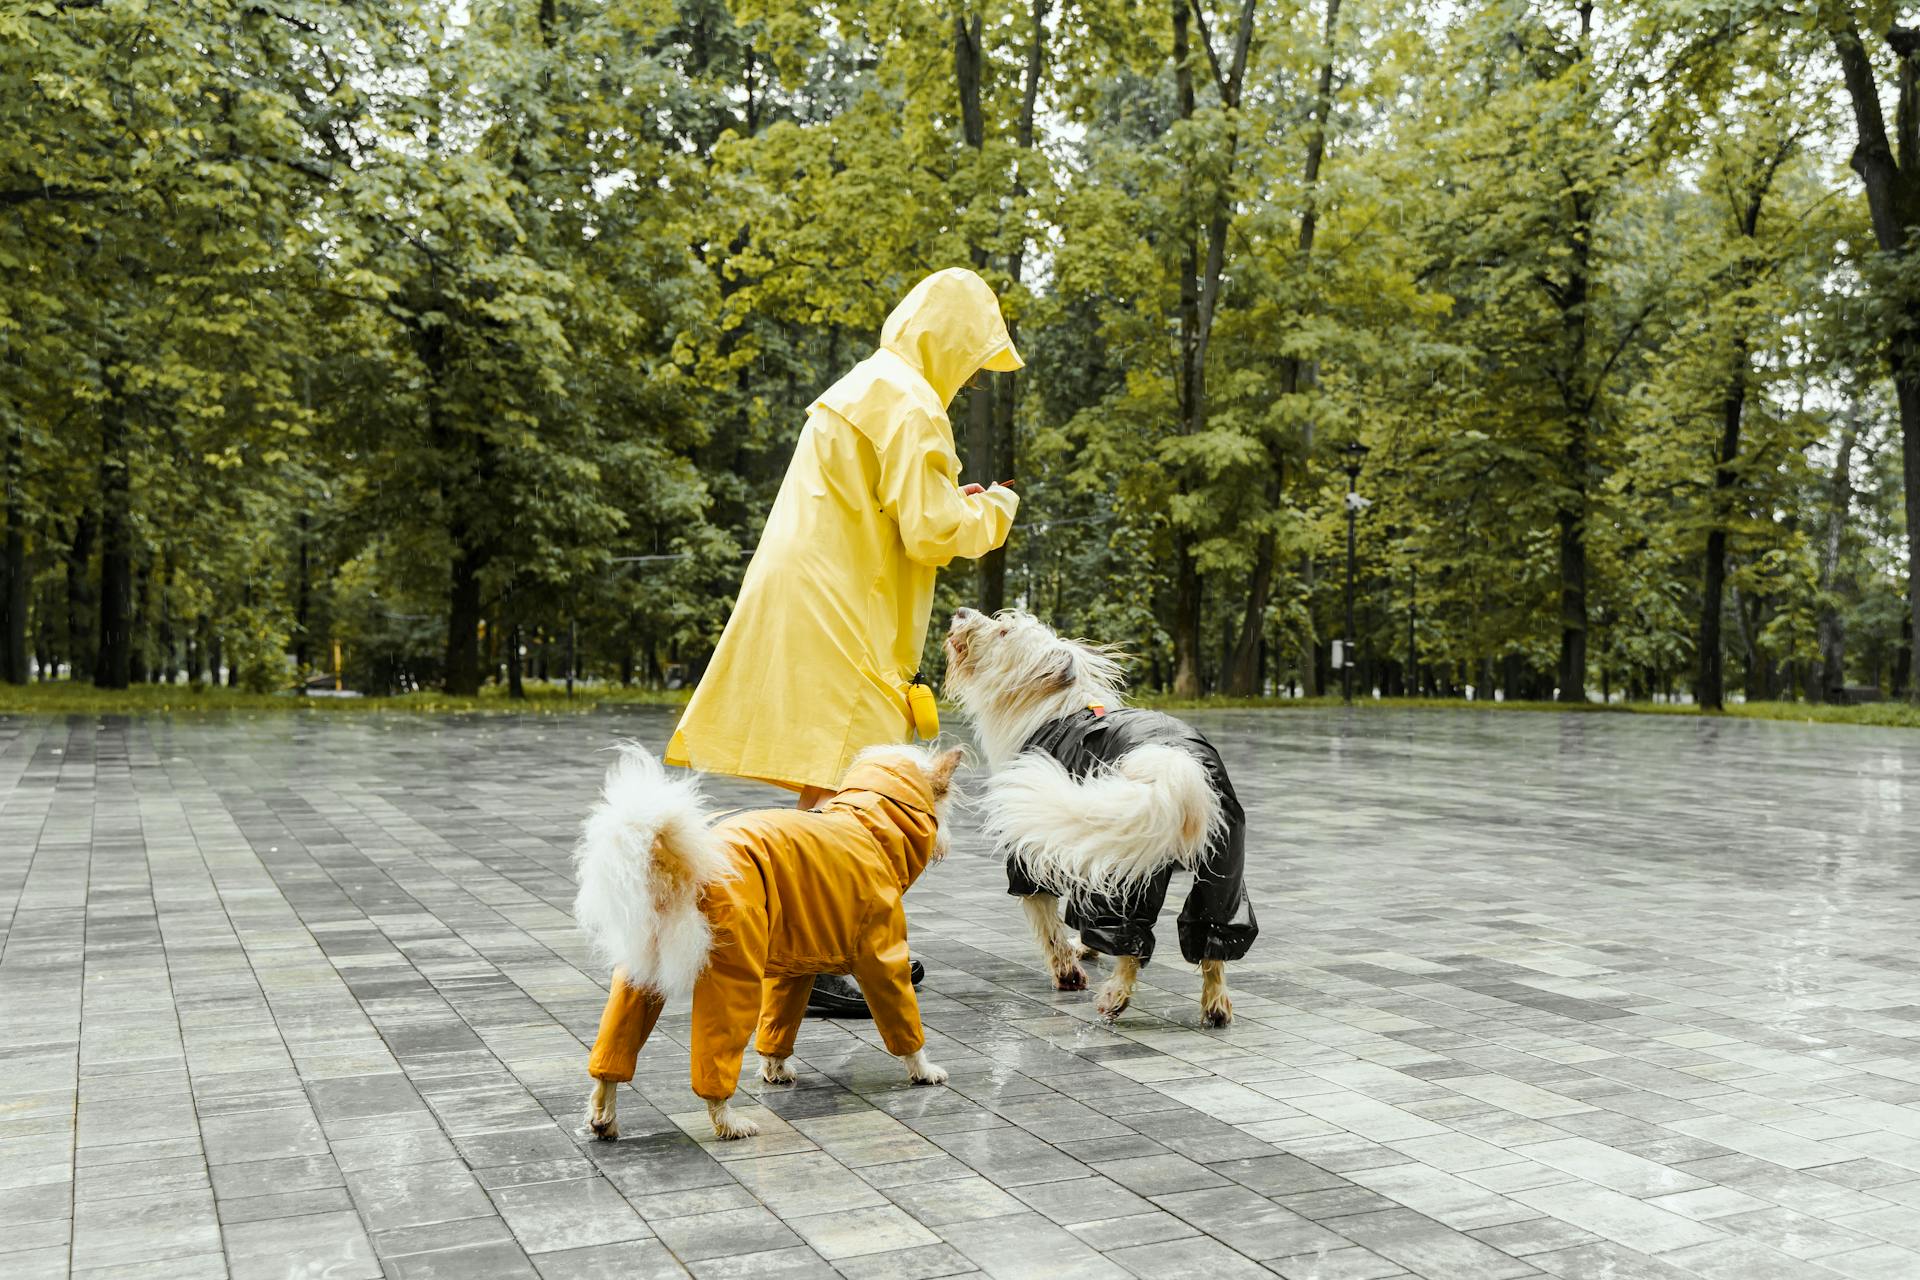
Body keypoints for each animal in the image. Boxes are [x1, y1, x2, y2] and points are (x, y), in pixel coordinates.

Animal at [568, 740, 960, 1143]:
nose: (946, 844)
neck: (868, 824)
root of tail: (680, 866)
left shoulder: (797, 963)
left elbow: (780, 1022)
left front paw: (775, 1070)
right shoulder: (882, 956)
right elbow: (903, 1019)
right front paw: (923, 1070)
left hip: (640, 973)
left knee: (613, 1048)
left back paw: (603, 1116)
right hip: (734, 973)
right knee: (715, 1059)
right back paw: (728, 1120)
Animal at [944, 606, 1259, 1028]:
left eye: (1004, 631)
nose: (961, 612)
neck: (1052, 708)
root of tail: (1175, 762)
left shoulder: (1031, 856)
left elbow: (1048, 924)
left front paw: (1068, 972)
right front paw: (1086, 949)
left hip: (1128, 871)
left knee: (1132, 940)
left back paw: (1115, 996)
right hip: (1221, 868)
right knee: (1213, 935)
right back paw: (1216, 1005)